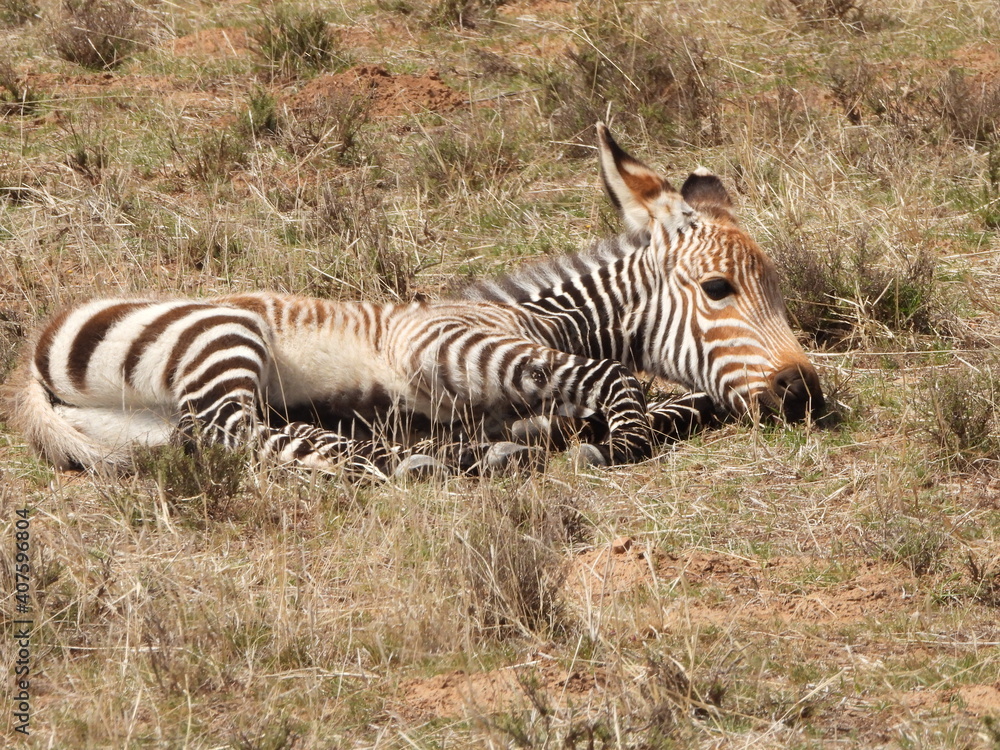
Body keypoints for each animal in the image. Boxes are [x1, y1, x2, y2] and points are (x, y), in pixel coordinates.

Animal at [3, 123, 823, 480]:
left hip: (143, 429)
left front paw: (563, 431)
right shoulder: (449, 343)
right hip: (223, 338)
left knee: (238, 439)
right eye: (718, 290)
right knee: (251, 434)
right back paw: (432, 459)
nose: (806, 393)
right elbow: (618, 381)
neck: (543, 318)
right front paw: (612, 439)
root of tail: (32, 357)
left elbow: (682, 400)